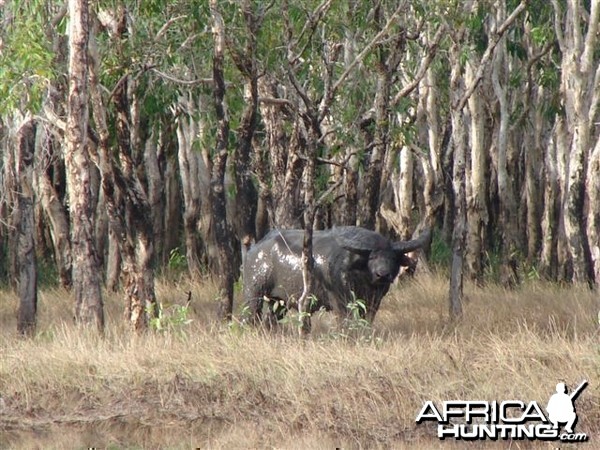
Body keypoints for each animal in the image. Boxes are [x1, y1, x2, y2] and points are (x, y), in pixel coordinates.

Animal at [244, 227, 432, 328]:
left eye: (393, 258)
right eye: (372, 257)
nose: (383, 274)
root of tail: (255, 249)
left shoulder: (374, 303)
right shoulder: (340, 301)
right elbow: (345, 322)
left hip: (279, 302)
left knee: (270, 320)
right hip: (254, 293)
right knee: (252, 316)